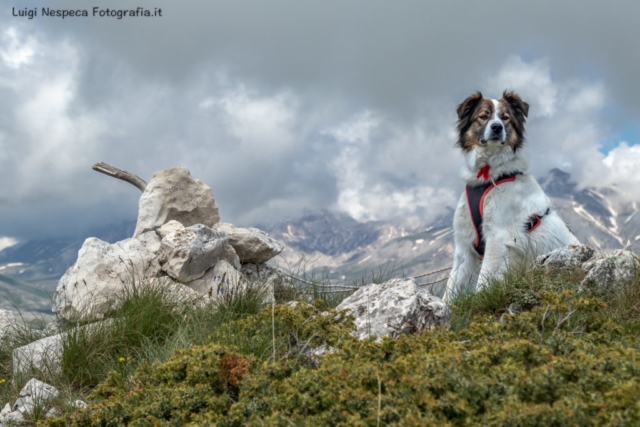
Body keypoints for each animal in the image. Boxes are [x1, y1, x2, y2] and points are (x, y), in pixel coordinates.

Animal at [444, 91, 580, 302]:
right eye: (483, 116)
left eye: (505, 117)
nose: (497, 127)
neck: (489, 176)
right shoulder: (464, 244)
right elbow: (451, 287)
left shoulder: (498, 238)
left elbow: (484, 279)